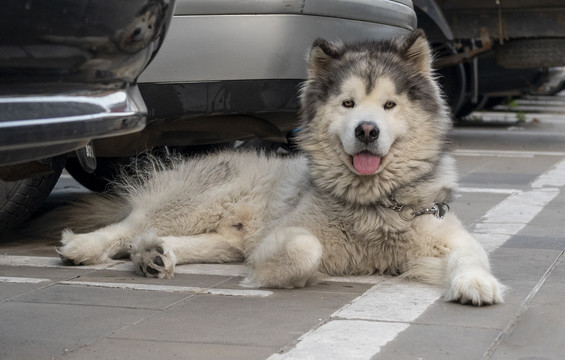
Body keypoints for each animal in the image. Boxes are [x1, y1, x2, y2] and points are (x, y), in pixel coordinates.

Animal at [58, 30, 506, 304]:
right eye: (348, 103)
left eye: (389, 105)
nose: (366, 130)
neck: (374, 203)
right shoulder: (282, 234)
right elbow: (306, 249)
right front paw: (277, 276)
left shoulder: (443, 234)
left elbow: (472, 256)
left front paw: (477, 284)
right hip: (199, 202)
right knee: (130, 226)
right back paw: (84, 247)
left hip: (225, 240)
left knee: (158, 238)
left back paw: (152, 254)